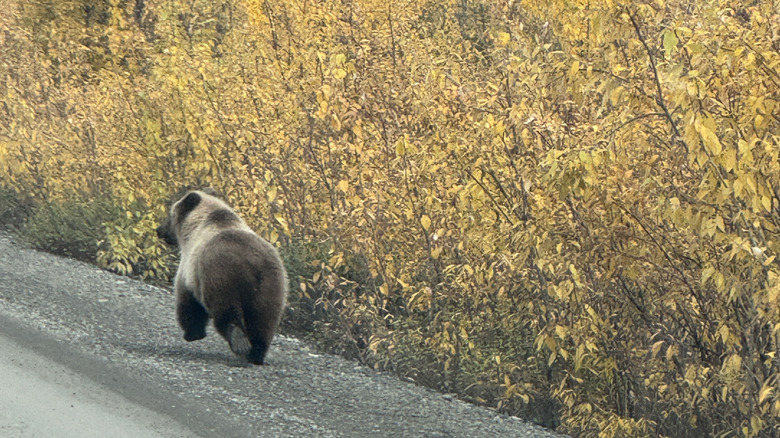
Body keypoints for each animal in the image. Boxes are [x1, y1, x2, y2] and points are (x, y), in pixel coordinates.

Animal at [156, 188, 287, 365]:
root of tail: (253, 263)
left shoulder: (190, 269)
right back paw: (256, 354)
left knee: (226, 312)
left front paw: (192, 333)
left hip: (222, 277)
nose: (159, 230)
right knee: (264, 321)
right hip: (271, 285)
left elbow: (187, 302)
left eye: (170, 214)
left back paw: (239, 342)